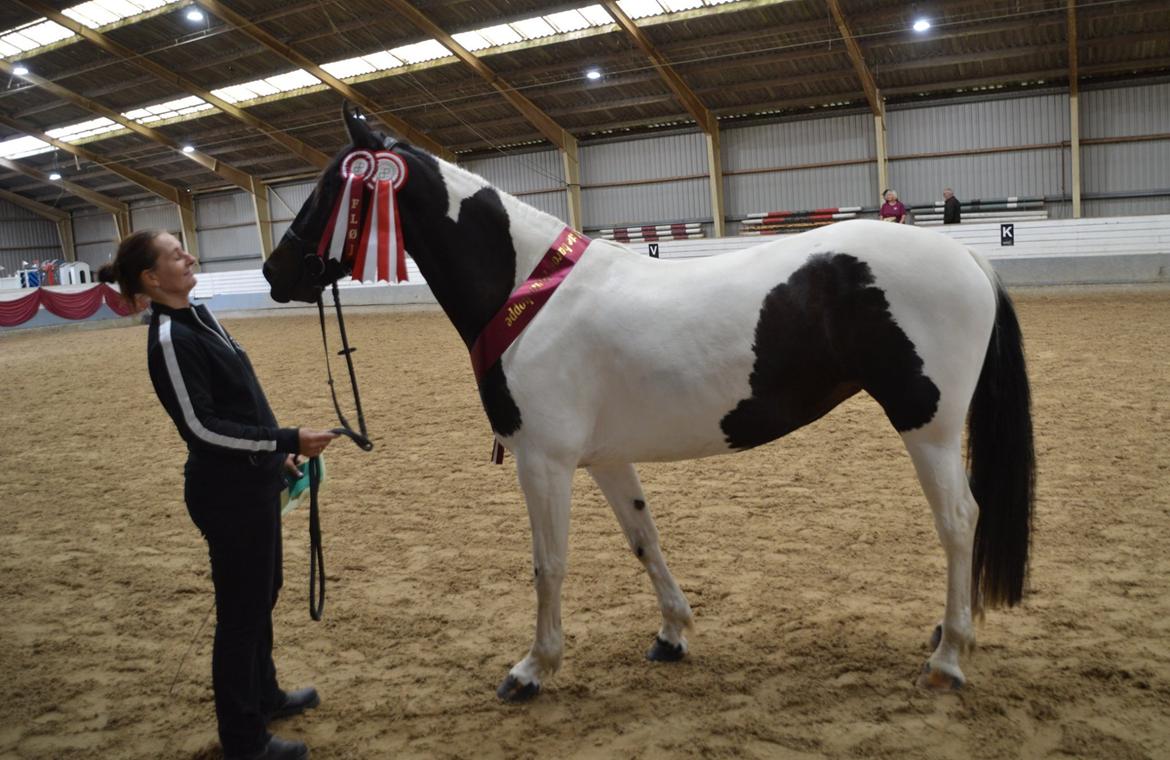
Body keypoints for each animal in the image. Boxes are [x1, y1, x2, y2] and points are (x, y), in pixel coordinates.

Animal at [265, 105, 1034, 696]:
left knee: (959, 521)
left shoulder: (543, 462)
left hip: (928, 426)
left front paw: (533, 669)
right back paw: (945, 635)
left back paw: (948, 657)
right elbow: (644, 539)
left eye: (331, 185)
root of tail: (967, 257)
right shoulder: (605, 460)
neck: (528, 292)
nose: (276, 272)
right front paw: (672, 633)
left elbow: (549, 564)